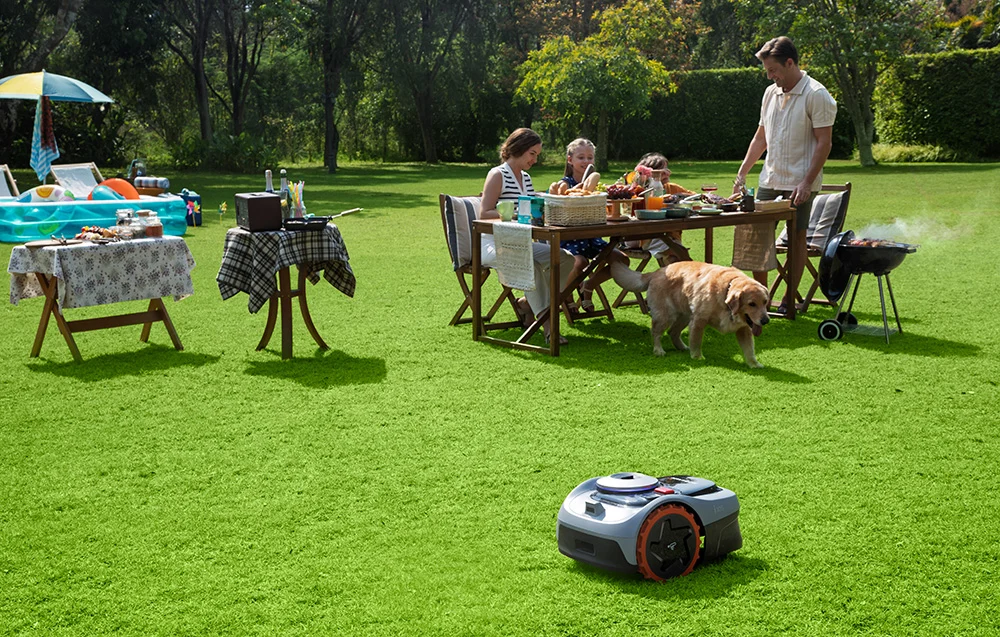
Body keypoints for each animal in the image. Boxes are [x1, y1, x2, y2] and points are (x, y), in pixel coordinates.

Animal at [611, 260, 771, 368]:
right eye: (751, 304)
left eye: (765, 301)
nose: (766, 321)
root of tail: (656, 272)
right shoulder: (699, 320)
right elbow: (696, 341)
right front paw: (697, 356)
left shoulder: (744, 329)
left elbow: (749, 349)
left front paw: (754, 364)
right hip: (666, 316)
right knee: (656, 332)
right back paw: (659, 350)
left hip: (685, 316)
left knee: (673, 332)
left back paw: (682, 348)